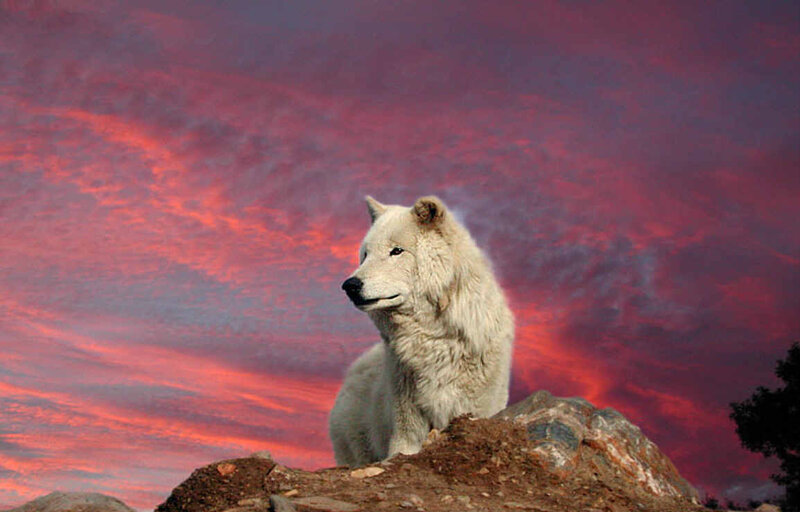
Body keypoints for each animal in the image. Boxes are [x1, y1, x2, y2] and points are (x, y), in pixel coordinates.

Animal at [328, 195, 515, 467]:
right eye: (365, 255)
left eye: (396, 251)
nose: (350, 285)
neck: (435, 340)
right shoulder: (407, 415)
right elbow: (403, 449)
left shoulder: (477, 407)